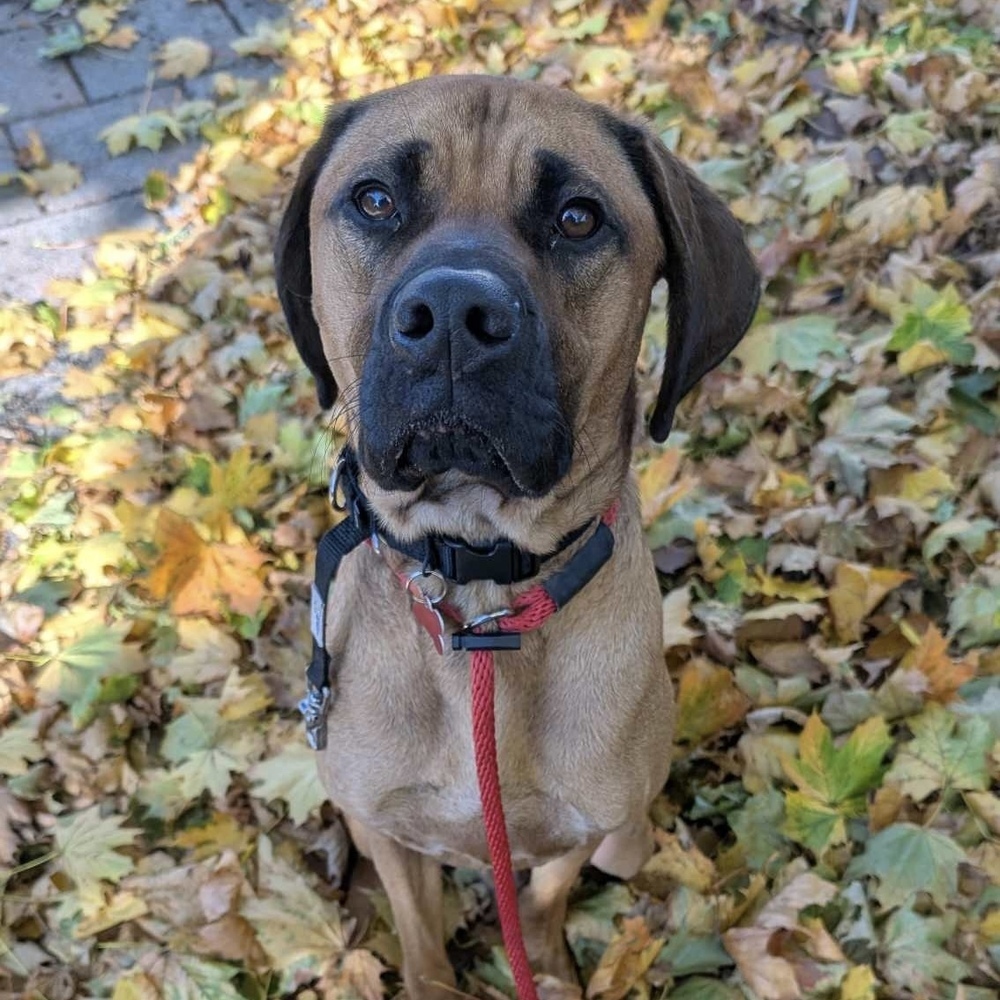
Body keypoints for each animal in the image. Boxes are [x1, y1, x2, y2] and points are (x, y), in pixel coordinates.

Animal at [274, 76, 756, 992]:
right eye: (375, 200)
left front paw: (550, 968)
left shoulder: (586, 826)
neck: (479, 603)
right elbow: (421, 940)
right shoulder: (389, 829)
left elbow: (541, 901)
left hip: (630, 837)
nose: (453, 314)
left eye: (578, 217)